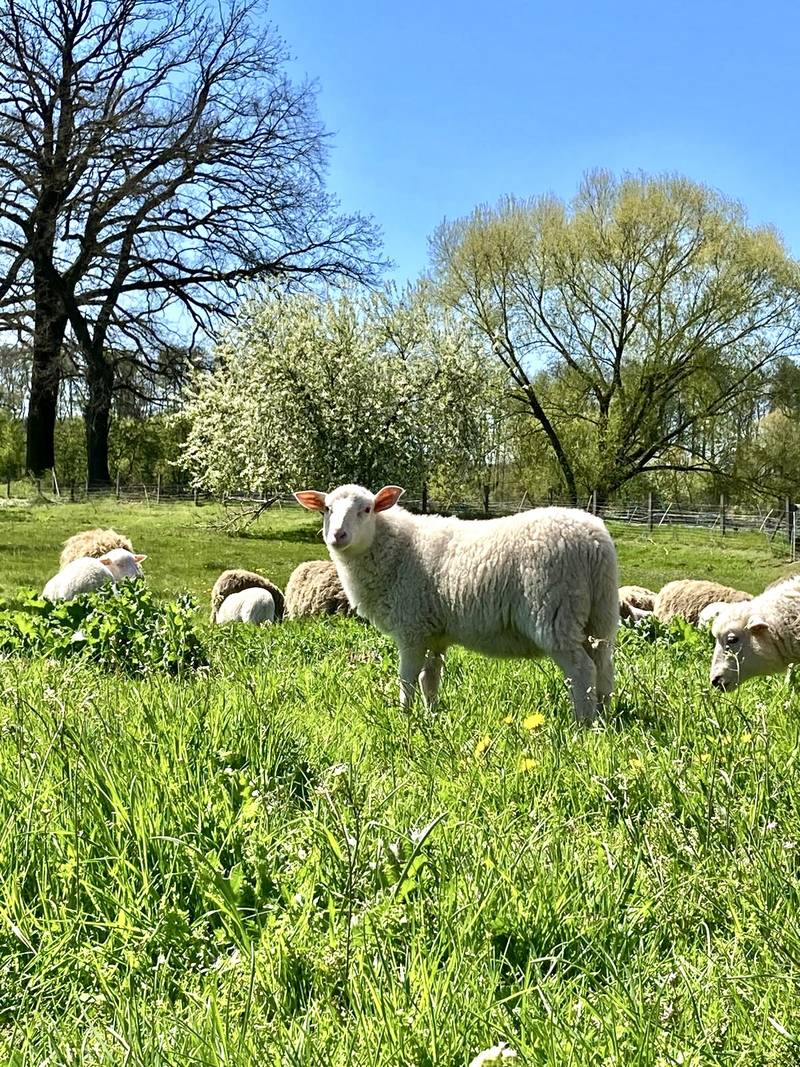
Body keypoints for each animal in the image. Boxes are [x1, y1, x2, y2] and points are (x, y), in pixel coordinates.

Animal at [295, 484, 619, 724]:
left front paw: (404, 717)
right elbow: (430, 678)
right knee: (603, 667)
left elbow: (407, 679)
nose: (338, 535)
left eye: (367, 509)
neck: (393, 549)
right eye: (327, 509)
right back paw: (602, 718)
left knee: (582, 671)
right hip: (600, 614)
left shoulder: (411, 628)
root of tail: (593, 541)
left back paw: (582, 724)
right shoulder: (434, 632)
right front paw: (431, 715)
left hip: (554, 613)